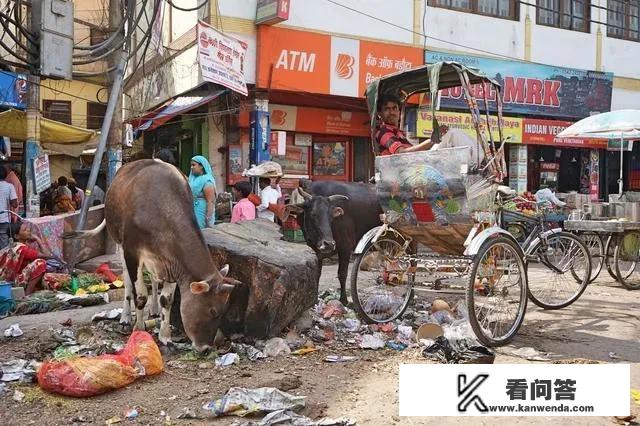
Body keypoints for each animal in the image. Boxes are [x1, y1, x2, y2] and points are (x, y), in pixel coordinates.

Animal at [66, 160, 240, 352]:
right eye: (213, 311)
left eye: (223, 311)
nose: (207, 348)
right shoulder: (132, 252)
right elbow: (140, 296)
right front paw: (139, 330)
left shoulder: (173, 263)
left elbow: (167, 300)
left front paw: (165, 337)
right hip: (120, 246)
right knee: (128, 283)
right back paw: (125, 318)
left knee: (154, 281)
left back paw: (154, 309)